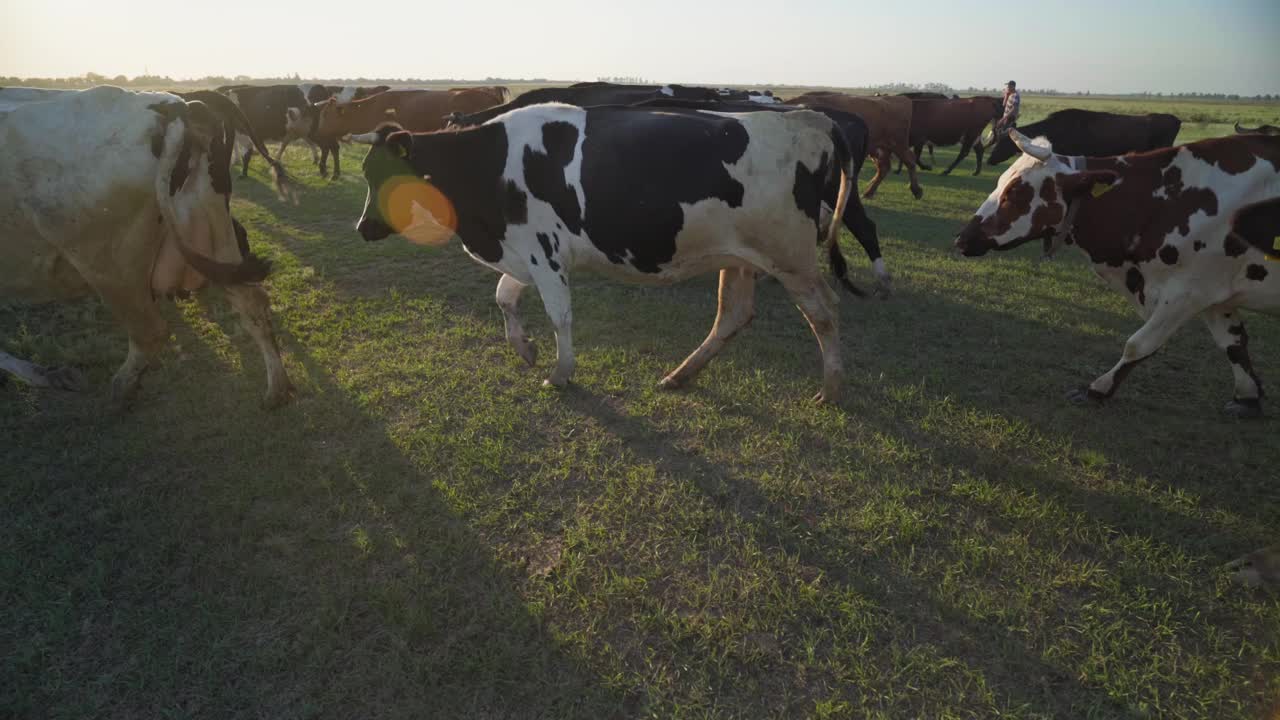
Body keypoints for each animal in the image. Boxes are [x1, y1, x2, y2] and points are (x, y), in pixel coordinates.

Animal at [355, 103, 865, 399]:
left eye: (387, 176)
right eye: (366, 173)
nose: (363, 228)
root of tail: (804, 117)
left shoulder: (545, 253)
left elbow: (559, 316)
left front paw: (560, 372)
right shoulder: (524, 251)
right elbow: (504, 296)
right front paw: (525, 349)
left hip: (790, 257)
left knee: (824, 312)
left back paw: (832, 387)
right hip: (739, 256)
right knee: (733, 316)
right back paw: (680, 375)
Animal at [778, 91, 921, 202]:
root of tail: (899, 99)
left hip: (898, 144)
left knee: (910, 161)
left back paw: (916, 190)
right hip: (879, 149)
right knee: (884, 167)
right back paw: (869, 192)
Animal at [957, 131, 1274, 417]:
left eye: (1014, 194)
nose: (962, 239)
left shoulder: (1186, 293)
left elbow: (1138, 344)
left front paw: (1097, 389)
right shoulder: (1214, 293)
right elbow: (1234, 344)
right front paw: (1248, 397)